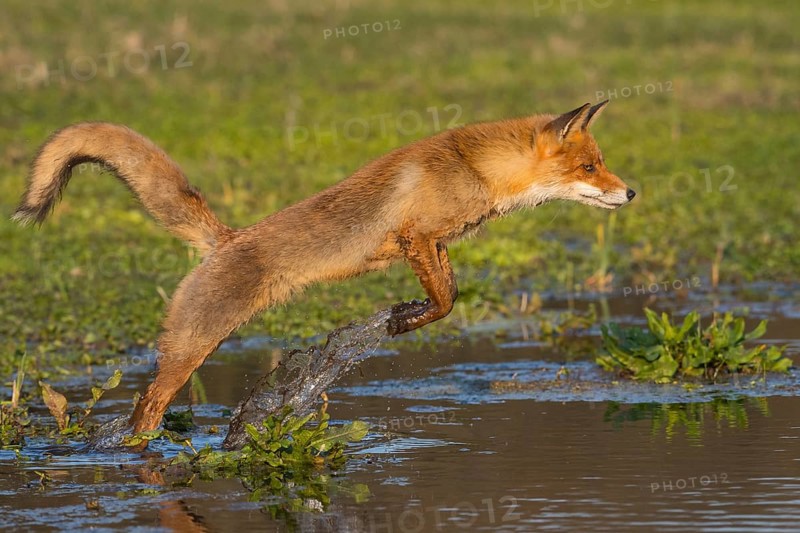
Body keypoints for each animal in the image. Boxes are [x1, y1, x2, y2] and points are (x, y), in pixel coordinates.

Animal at [13, 101, 634, 436]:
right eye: (589, 167)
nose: (630, 192)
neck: (476, 168)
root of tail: (225, 239)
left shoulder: (436, 243)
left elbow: (450, 293)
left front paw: (406, 315)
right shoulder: (415, 236)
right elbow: (445, 302)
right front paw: (403, 320)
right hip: (191, 347)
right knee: (146, 407)